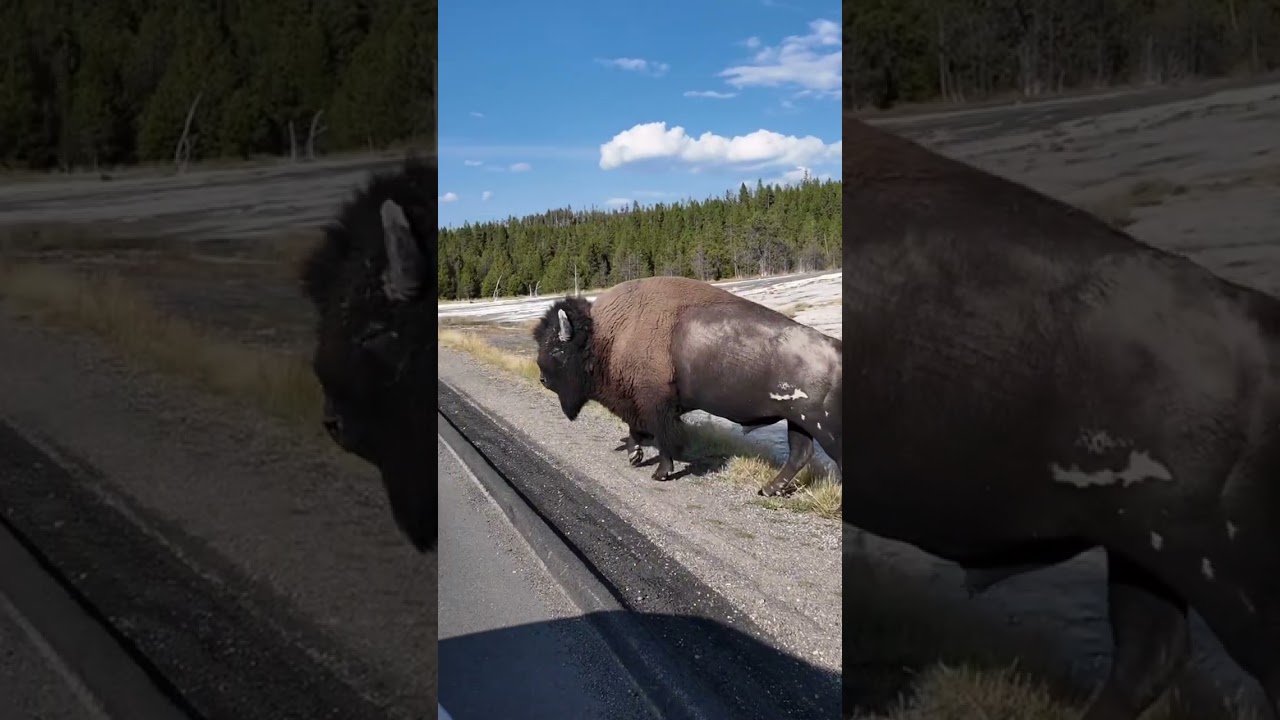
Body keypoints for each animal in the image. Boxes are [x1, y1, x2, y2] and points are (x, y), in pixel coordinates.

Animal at [533, 276, 842, 497]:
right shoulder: (637, 402)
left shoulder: (655, 405)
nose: (543, 379)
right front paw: (635, 456)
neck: (605, 336)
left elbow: (662, 437)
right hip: (798, 422)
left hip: (823, 427)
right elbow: (635, 429)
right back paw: (768, 489)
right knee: (800, 454)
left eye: (557, 349)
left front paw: (661, 472)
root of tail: (836, 348)